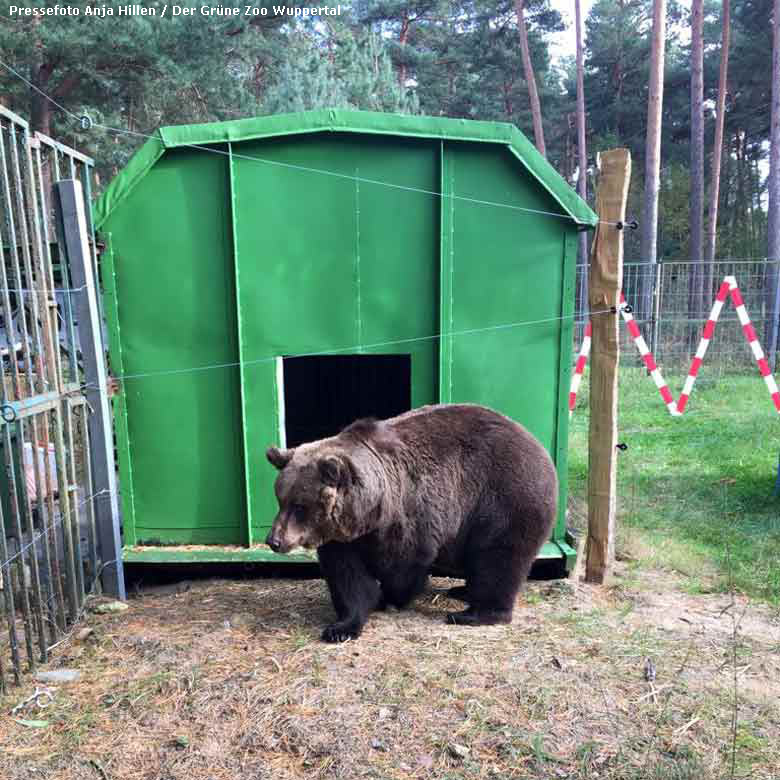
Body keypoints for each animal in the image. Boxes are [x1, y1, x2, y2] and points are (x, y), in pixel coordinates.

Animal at [266, 402, 556, 640]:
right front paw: (342, 627)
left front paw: (390, 597)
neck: (370, 513)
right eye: (281, 499)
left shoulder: (412, 515)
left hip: (503, 501)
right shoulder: (341, 537)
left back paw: (472, 613)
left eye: (299, 506)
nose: (274, 540)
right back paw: (462, 591)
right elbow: (347, 579)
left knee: (498, 559)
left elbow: (404, 565)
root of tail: (538, 446)